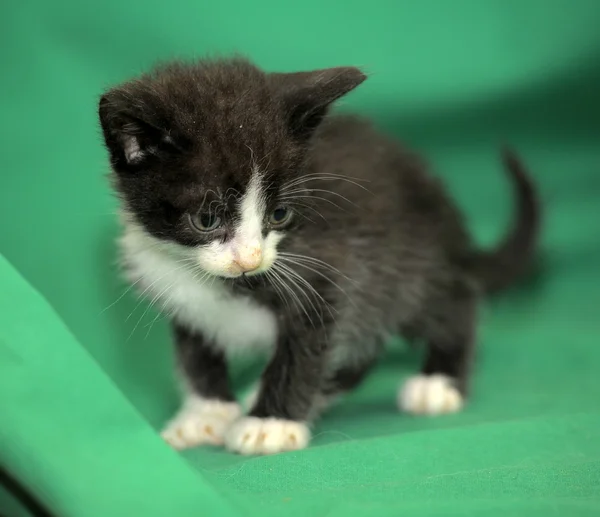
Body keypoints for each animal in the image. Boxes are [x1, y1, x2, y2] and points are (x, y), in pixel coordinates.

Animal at [97, 56, 540, 454]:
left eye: (279, 214)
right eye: (207, 219)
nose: (250, 260)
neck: (204, 275)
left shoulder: (324, 272)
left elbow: (304, 348)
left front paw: (269, 424)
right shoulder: (181, 297)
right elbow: (196, 355)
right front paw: (207, 413)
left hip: (409, 263)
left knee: (453, 299)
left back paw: (438, 381)